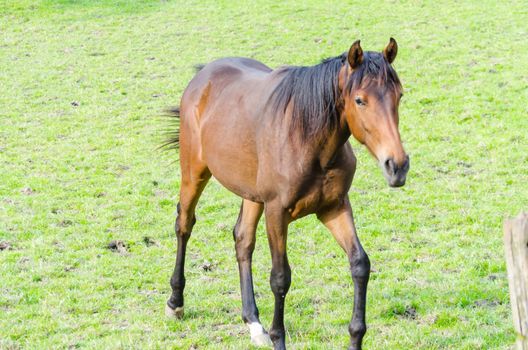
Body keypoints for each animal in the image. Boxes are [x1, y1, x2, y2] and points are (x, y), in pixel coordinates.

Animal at [163, 38, 410, 350]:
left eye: (399, 95)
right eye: (360, 100)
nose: (397, 165)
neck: (309, 140)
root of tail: (203, 75)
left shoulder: (334, 207)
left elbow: (359, 264)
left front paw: (355, 336)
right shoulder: (277, 213)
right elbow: (280, 278)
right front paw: (278, 337)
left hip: (251, 194)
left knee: (243, 239)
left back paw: (253, 323)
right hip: (194, 173)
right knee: (184, 224)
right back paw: (175, 303)